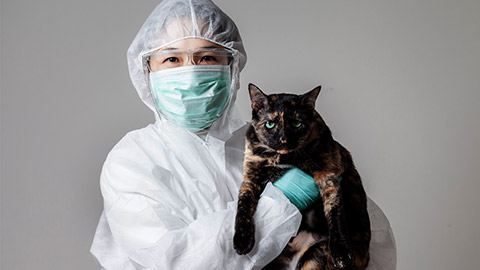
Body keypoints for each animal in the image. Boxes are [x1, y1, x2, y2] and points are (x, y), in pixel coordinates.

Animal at [232, 83, 372, 268]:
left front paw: (341, 252)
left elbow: (335, 212)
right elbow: (243, 206)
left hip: (317, 255)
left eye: (297, 123)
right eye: (269, 124)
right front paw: (242, 241)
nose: (283, 139)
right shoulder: (251, 177)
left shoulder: (328, 175)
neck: (284, 158)